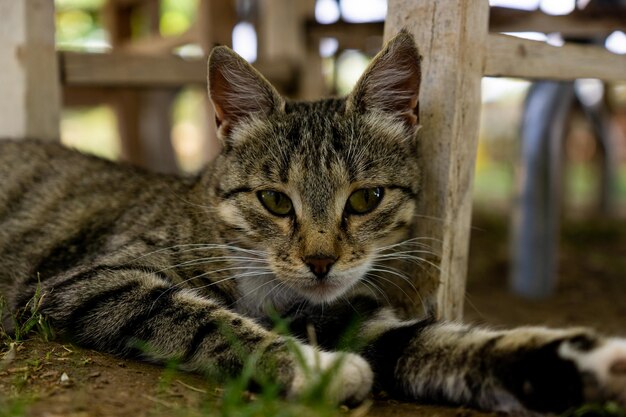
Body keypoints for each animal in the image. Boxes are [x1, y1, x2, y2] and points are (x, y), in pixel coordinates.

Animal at [1, 30, 624, 412]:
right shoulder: (92, 279)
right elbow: (202, 317)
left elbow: (441, 342)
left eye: (366, 199)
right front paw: (317, 371)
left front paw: (585, 361)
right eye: (276, 202)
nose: (321, 261)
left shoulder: (354, 317)